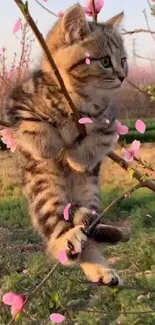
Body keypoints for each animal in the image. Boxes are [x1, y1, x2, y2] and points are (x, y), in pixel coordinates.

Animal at [1, 4, 128, 284]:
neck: (81, 100)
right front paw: (47, 143)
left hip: (89, 195)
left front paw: (78, 158)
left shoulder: (110, 121)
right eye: (105, 61)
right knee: (58, 232)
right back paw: (67, 242)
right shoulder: (15, 102)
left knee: (88, 235)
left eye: (123, 60)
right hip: (45, 188)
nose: (124, 76)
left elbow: (97, 138)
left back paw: (102, 265)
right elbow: (33, 123)